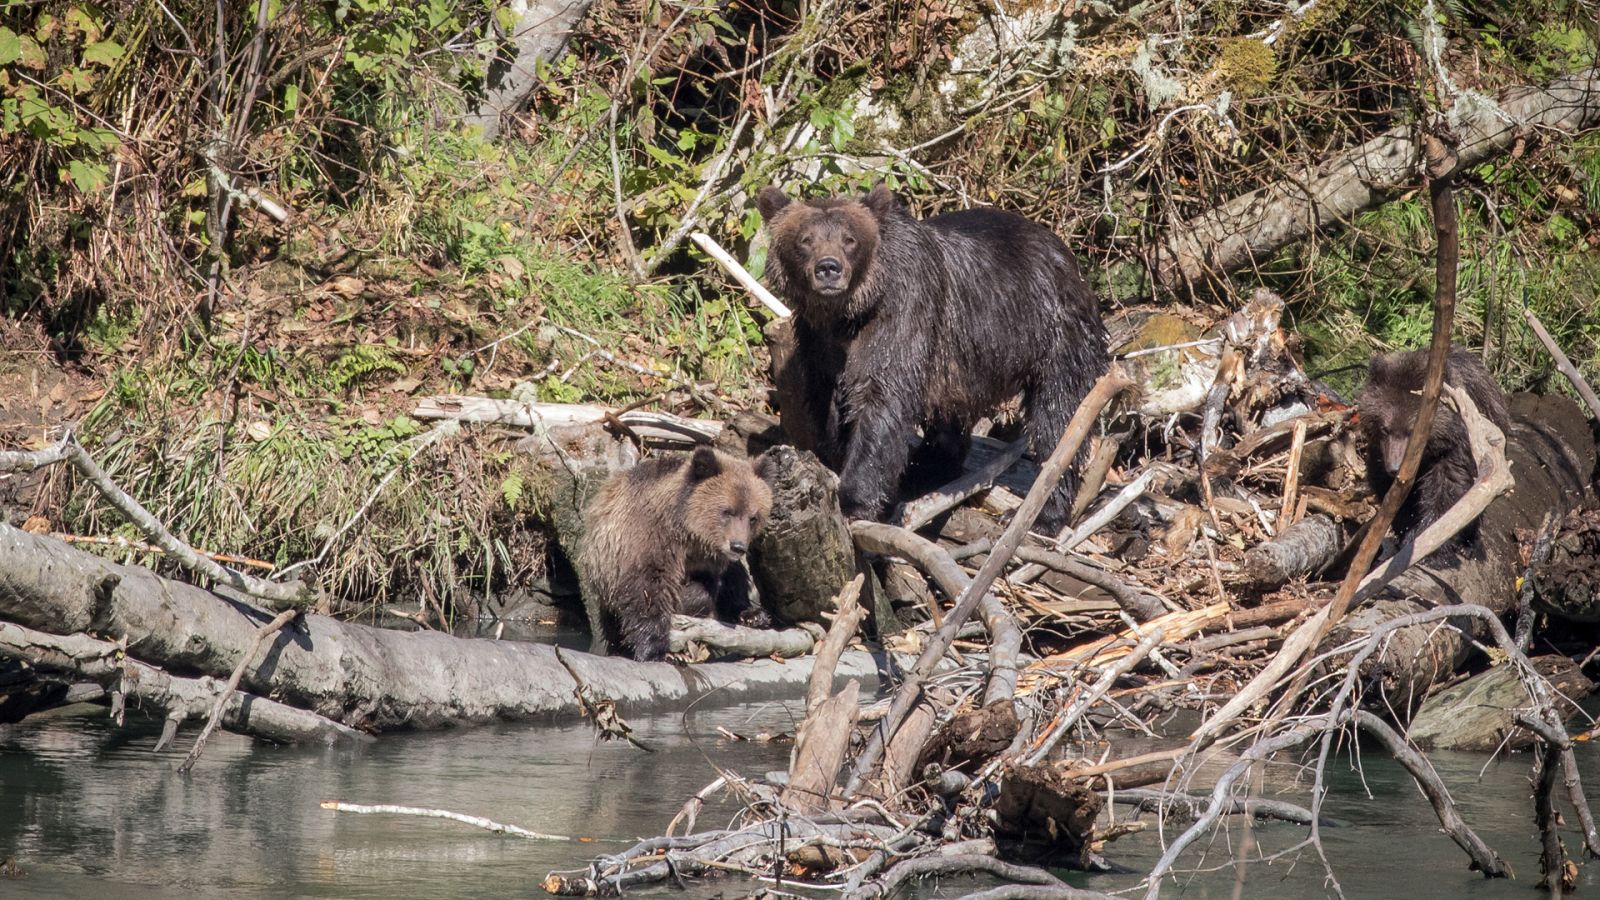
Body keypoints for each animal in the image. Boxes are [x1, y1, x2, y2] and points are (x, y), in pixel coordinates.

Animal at [579, 441, 777, 659]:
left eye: (753, 517)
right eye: (727, 511)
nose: (738, 546)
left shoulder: (714, 557)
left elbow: (729, 580)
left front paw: (752, 615)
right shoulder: (648, 541)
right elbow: (647, 592)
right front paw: (657, 650)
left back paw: (753, 615)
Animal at [755, 184, 1107, 531]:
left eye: (849, 239)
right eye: (805, 239)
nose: (829, 267)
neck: (848, 314)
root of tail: (1069, 258)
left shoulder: (901, 313)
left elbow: (881, 400)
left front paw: (853, 499)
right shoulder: (817, 340)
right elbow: (826, 399)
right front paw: (833, 461)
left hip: (1053, 333)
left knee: (1059, 416)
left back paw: (1039, 514)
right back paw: (928, 468)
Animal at [1356, 347, 1504, 557]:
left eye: (1412, 431)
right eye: (1385, 428)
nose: (1394, 467)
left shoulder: (1455, 448)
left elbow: (1448, 489)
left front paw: (1426, 541)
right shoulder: (1379, 453)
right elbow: (1388, 492)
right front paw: (1405, 531)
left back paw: (1469, 544)